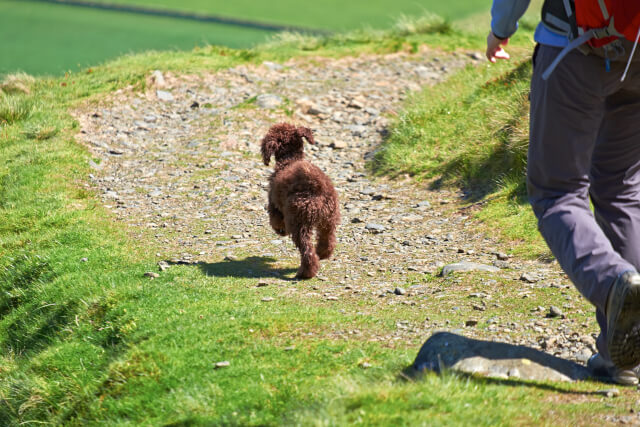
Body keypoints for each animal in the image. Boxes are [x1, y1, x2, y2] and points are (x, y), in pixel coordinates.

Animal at [262, 122, 340, 280]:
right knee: (328, 240)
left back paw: (305, 272)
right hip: (329, 219)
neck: (289, 160)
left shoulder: (274, 203)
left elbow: (275, 220)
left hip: (299, 221)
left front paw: (280, 230)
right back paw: (322, 253)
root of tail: (317, 188)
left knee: (307, 250)